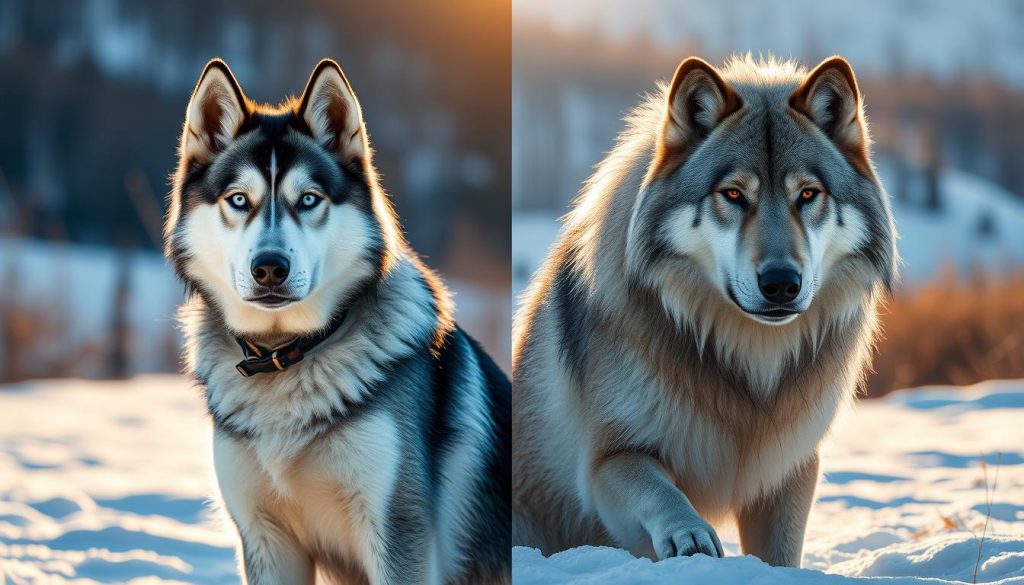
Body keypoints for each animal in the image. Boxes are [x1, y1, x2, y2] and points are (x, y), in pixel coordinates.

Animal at [164, 58, 511, 584]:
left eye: (308, 200)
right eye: (238, 200)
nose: (269, 267)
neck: (287, 357)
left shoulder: (398, 531)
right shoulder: (266, 539)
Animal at [512, 55, 897, 568]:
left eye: (808, 194)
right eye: (733, 195)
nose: (781, 283)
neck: (749, 363)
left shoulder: (789, 470)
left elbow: (780, 554)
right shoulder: (607, 461)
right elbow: (661, 491)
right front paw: (690, 537)